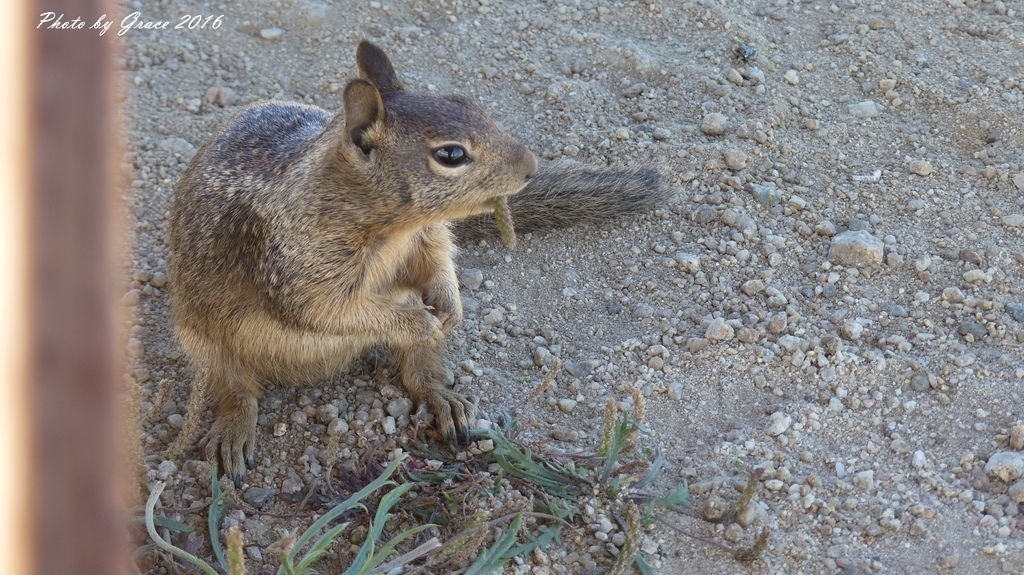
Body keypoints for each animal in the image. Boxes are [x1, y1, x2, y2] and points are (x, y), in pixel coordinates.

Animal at [167, 39, 663, 482]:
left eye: (466, 101)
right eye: (451, 154)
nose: (531, 166)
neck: (394, 227)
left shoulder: (426, 236)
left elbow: (439, 258)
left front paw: (449, 303)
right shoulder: (300, 267)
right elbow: (330, 310)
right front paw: (420, 320)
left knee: (418, 369)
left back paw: (442, 397)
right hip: (205, 343)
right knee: (235, 390)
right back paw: (233, 431)